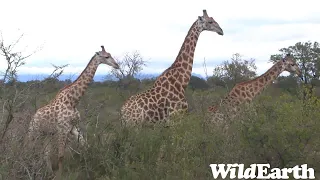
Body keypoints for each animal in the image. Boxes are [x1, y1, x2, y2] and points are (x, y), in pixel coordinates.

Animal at [26, 45, 120, 179]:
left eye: (110, 54)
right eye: (106, 56)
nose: (117, 65)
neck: (73, 100)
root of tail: (33, 118)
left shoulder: (73, 127)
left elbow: (85, 145)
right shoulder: (63, 129)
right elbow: (61, 155)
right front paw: (60, 176)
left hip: (48, 135)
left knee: (46, 153)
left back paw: (49, 172)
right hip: (34, 133)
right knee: (31, 150)